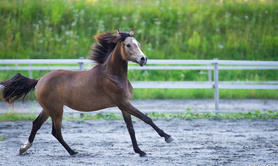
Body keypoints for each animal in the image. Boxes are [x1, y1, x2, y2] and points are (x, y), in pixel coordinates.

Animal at [0, 29, 174, 158]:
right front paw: (167, 137)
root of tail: (40, 80)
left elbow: (131, 128)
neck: (113, 75)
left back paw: (24, 148)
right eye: (128, 45)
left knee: (36, 124)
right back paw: (73, 152)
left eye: (138, 44)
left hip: (48, 109)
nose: (143, 59)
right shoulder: (123, 103)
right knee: (55, 131)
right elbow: (146, 118)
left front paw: (139, 151)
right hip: (56, 110)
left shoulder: (123, 105)